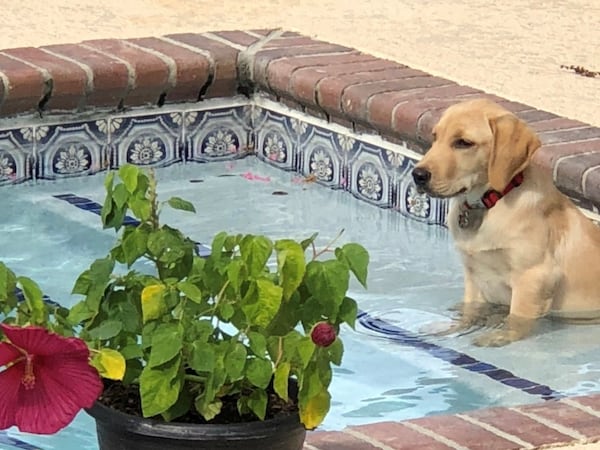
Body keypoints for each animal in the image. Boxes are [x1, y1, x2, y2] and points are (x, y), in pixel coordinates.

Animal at [410, 98, 600, 346]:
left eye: (463, 143)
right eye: (435, 137)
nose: (418, 175)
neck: (488, 203)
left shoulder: (534, 275)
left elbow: (517, 317)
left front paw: (502, 336)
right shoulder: (474, 275)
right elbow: (471, 310)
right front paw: (453, 328)